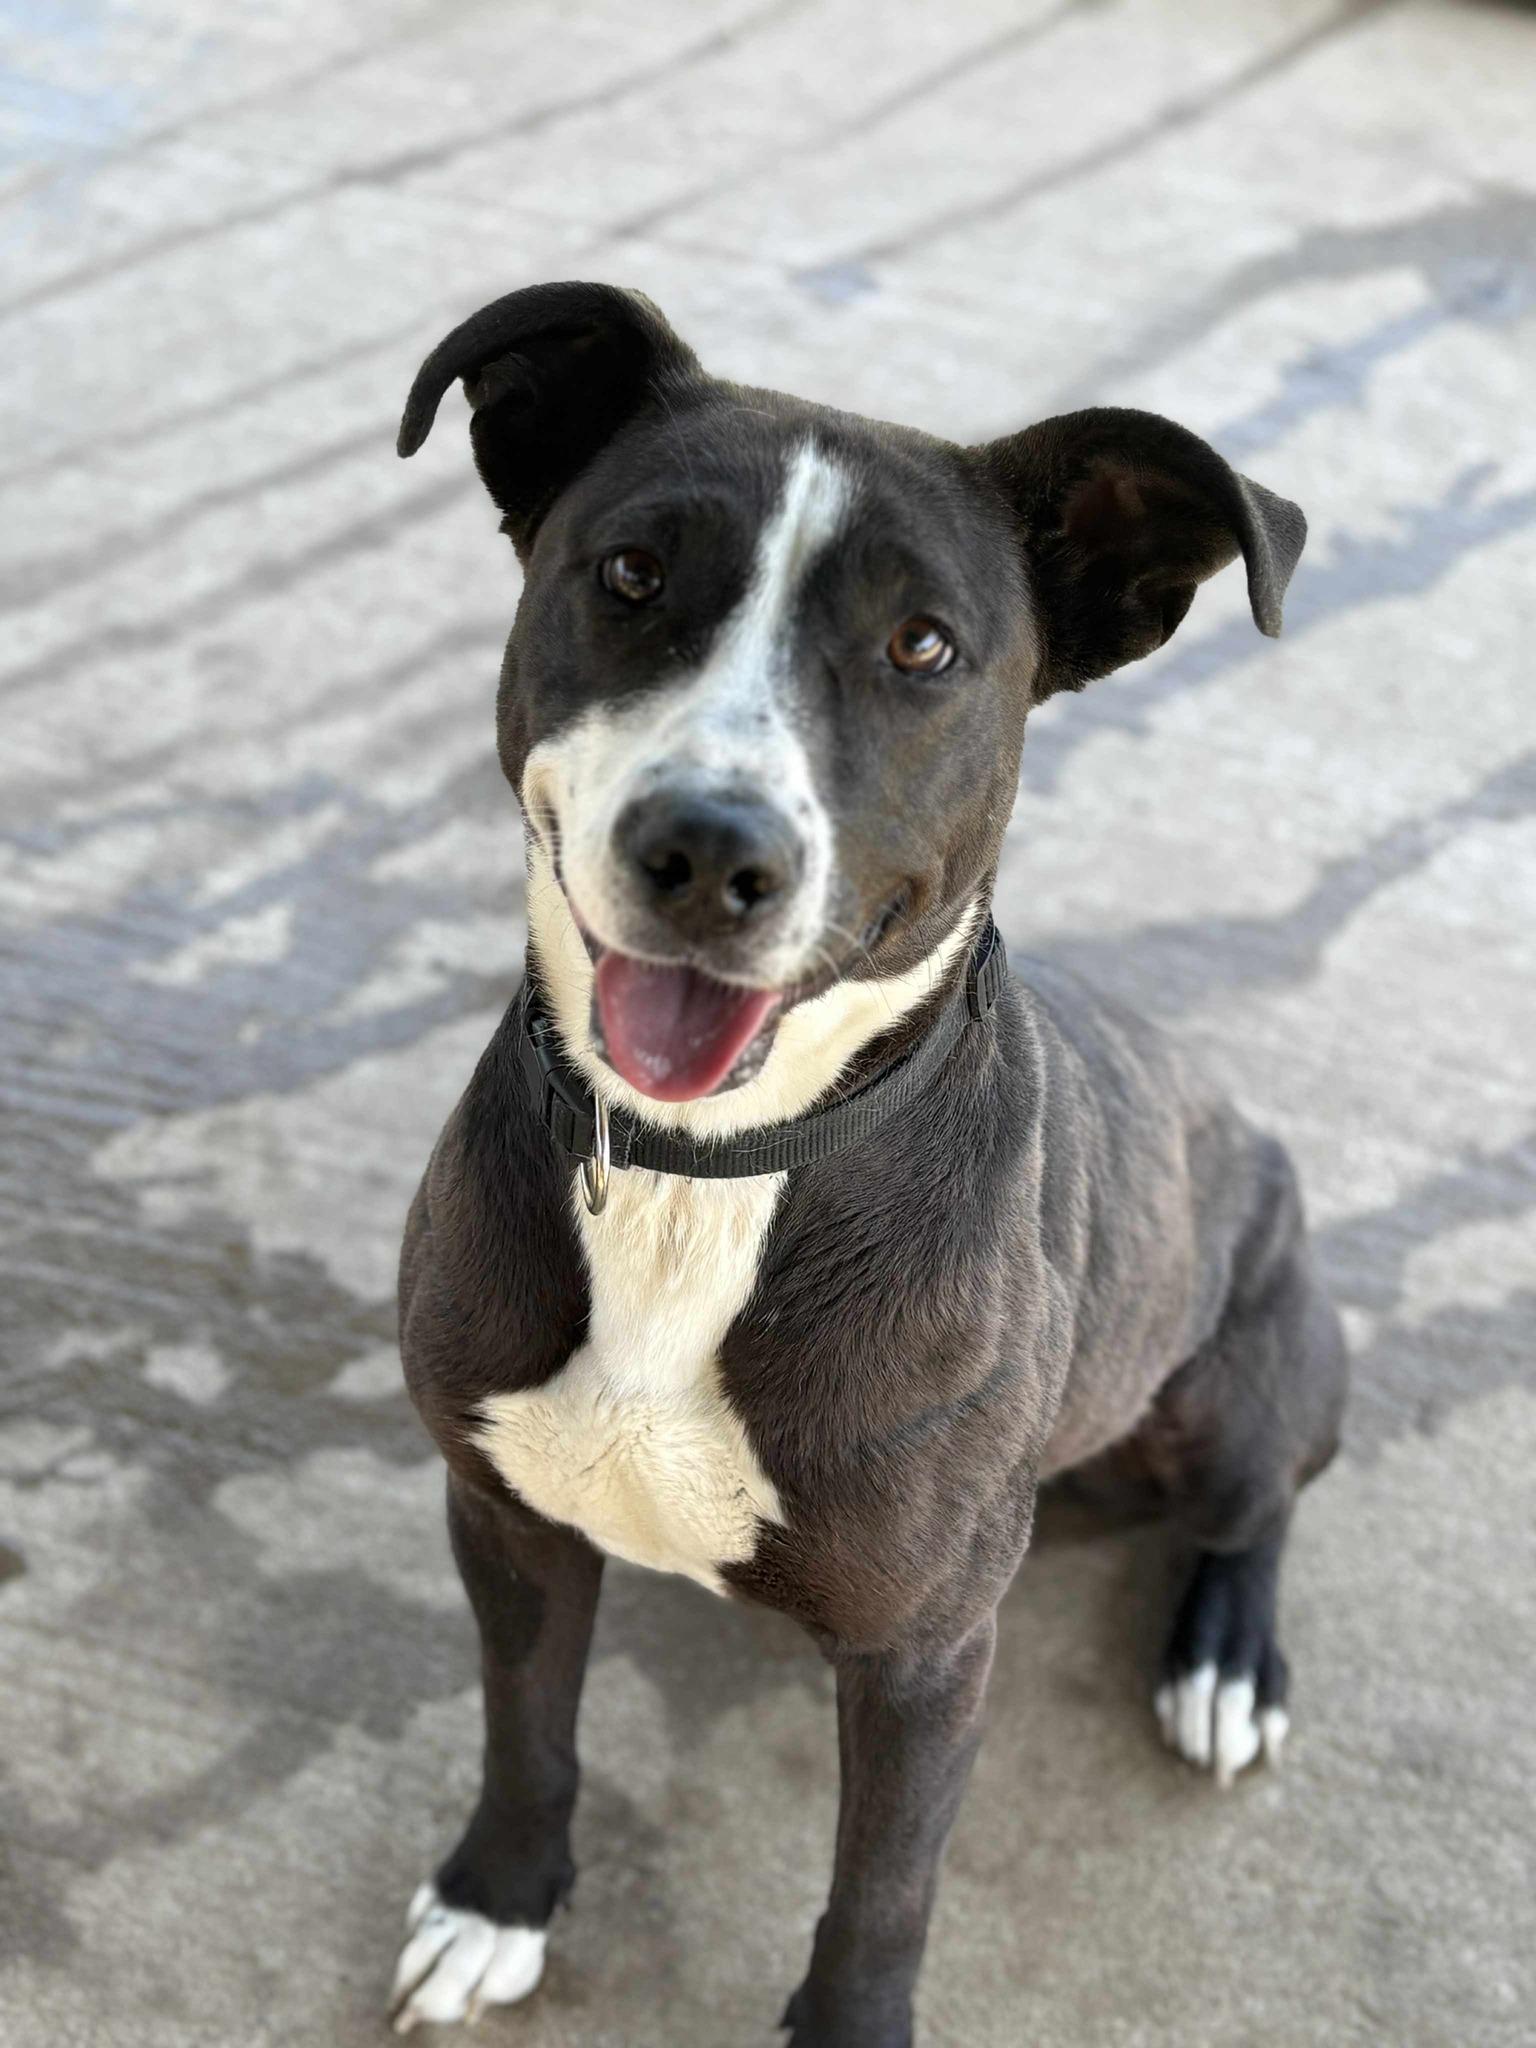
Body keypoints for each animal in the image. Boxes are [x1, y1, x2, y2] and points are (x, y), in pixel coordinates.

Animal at [386, 282, 1348, 2043]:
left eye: (924, 648)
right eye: (632, 573)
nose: (709, 850)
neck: (707, 1174)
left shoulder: (927, 1655)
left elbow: (884, 1892)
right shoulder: (506, 1518)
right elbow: (526, 1728)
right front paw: (499, 1897)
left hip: (1253, 1361)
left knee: (1256, 1504)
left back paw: (1226, 1661)